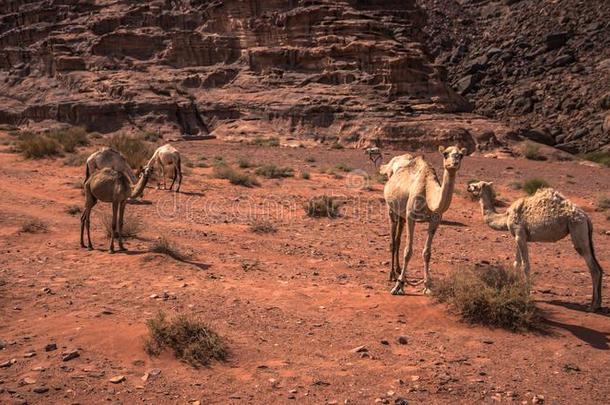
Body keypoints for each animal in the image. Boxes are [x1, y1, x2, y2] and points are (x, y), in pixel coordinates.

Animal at [382, 145, 464, 294]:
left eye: (461, 155)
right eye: (445, 154)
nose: (454, 162)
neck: (428, 192)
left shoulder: (435, 220)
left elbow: (427, 253)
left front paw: (427, 286)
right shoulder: (410, 215)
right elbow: (408, 251)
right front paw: (398, 286)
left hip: (401, 214)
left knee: (398, 239)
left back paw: (398, 270)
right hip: (391, 208)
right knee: (392, 240)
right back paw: (392, 275)